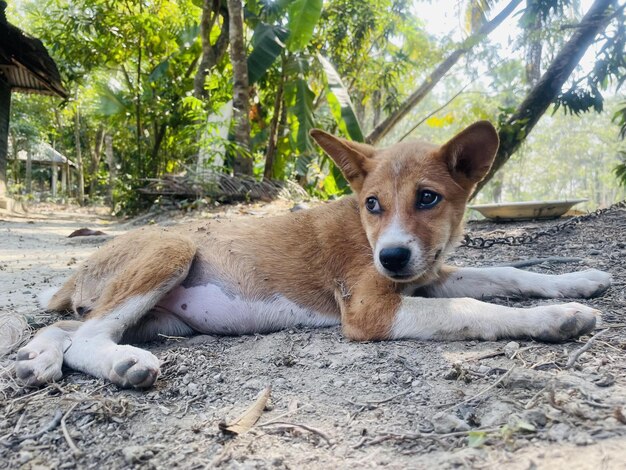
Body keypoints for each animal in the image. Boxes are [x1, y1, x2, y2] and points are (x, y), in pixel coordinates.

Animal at [15, 122, 608, 390]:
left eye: (428, 198)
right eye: (372, 203)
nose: (391, 258)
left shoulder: (429, 274)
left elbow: (505, 272)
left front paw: (579, 280)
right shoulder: (372, 309)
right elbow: (479, 310)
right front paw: (557, 318)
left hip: (162, 319)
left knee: (67, 330)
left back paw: (37, 360)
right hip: (172, 248)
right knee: (88, 336)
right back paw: (120, 365)